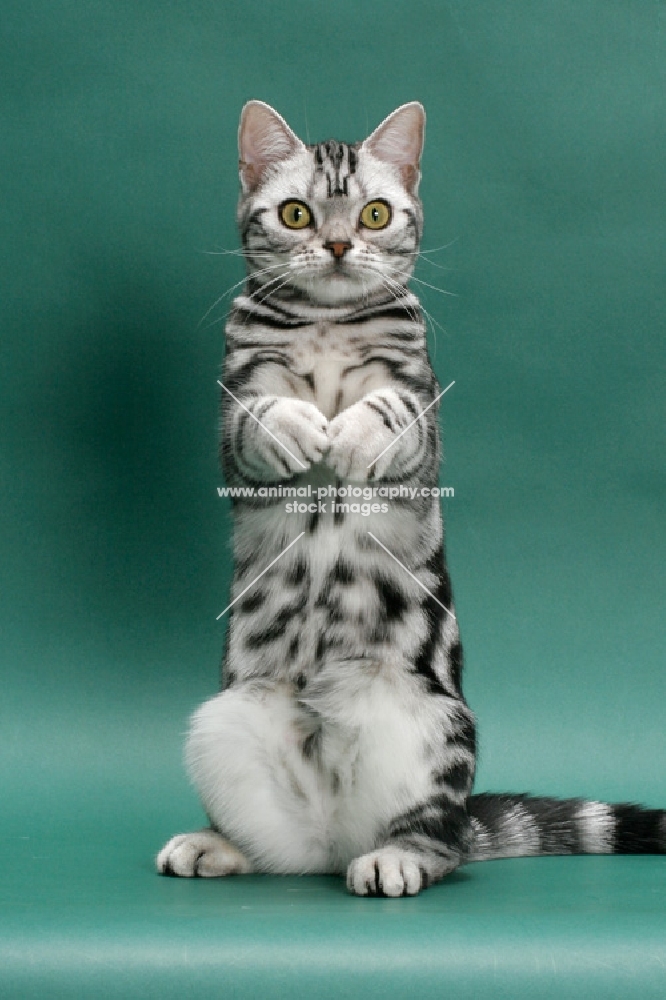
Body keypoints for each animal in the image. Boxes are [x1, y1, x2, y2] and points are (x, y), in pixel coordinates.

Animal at [157, 101, 664, 900]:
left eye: (374, 213)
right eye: (297, 214)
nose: (338, 245)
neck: (328, 322)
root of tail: (335, 838)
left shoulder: (423, 414)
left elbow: (390, 408)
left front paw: (350, 433)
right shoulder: (233, 422)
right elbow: (259, 415)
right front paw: (303, 426)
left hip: (437, 729)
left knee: (439, 840)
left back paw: (397, 857)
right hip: (220, 725)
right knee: (276, 850)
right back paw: (217, 846)